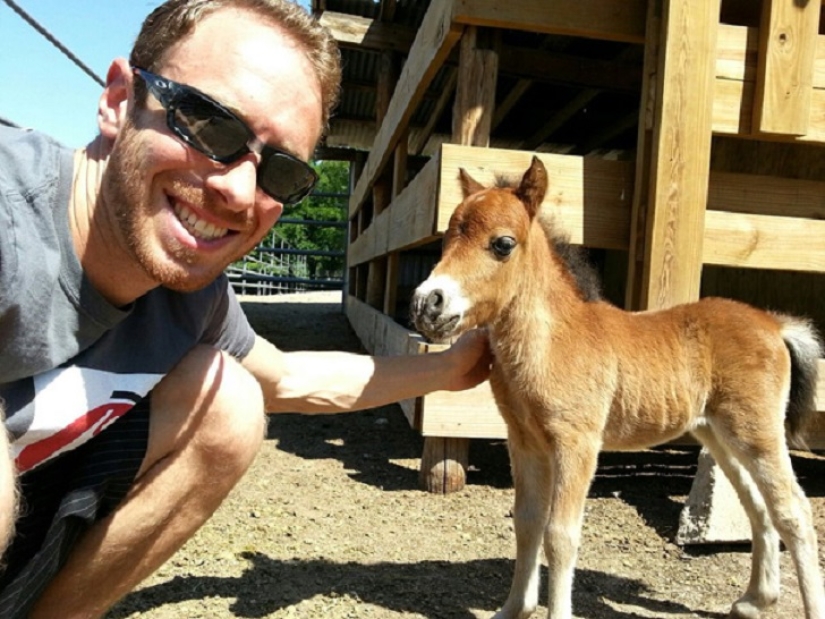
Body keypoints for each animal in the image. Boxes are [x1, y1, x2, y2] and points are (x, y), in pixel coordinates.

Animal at [410, 156, 825, 619]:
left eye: (502, 243)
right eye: (448, 236)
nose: (428, 303)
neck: (553, 341)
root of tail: (773, 324)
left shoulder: (577, 443)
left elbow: (560, 533)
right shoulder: (524, 442)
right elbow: (527, 522)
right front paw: (513, 609)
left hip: (757, 431)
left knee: (793, 510)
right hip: (718, 433)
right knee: (759, 506)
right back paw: (755, 600)